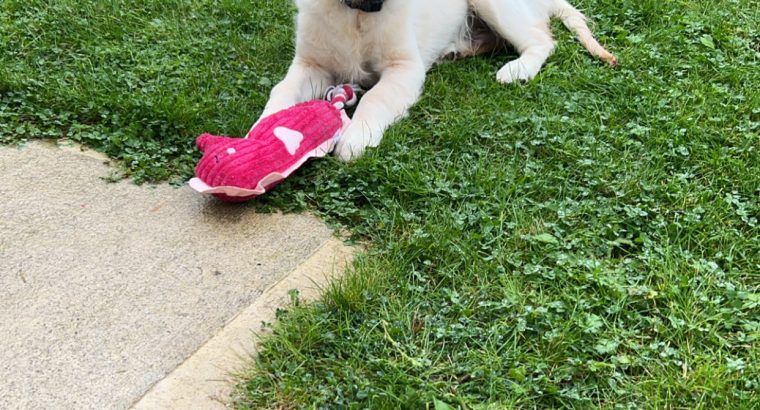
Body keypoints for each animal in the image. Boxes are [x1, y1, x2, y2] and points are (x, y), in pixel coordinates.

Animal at [258, 0, 616, 160]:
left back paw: (517, 69)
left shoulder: (405, 67)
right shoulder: (311, 63)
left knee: (542, 40)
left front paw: (355, 137)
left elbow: (375, 97)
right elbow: (282, 90)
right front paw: (262, 135)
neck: (359, 12)